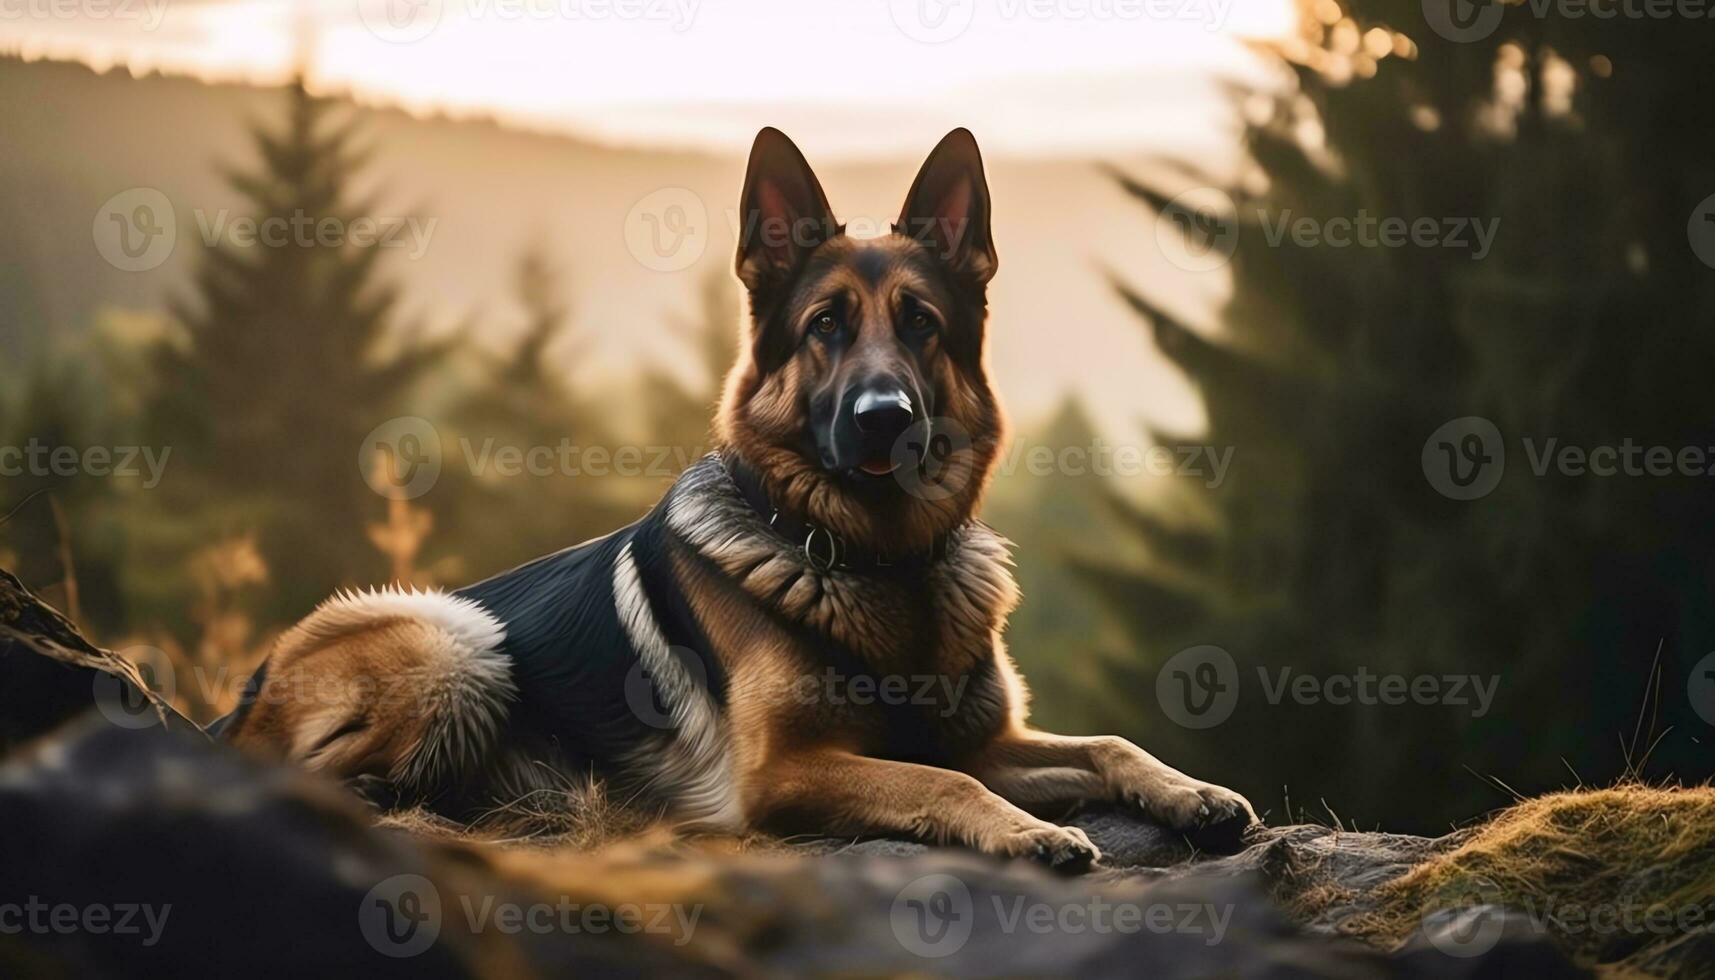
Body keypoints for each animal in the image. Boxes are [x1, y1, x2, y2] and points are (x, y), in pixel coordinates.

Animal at [221, 126, 1255, 871]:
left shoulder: (985, 740)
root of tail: (245, 693)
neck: (877, 558)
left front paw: (1189, 790)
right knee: (297, 769)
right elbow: (942, 785)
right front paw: (1028, 832)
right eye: (825, 325)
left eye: (920, 324)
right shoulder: (786, 772)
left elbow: (1107, 743)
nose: (885, 421)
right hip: (456, 642)